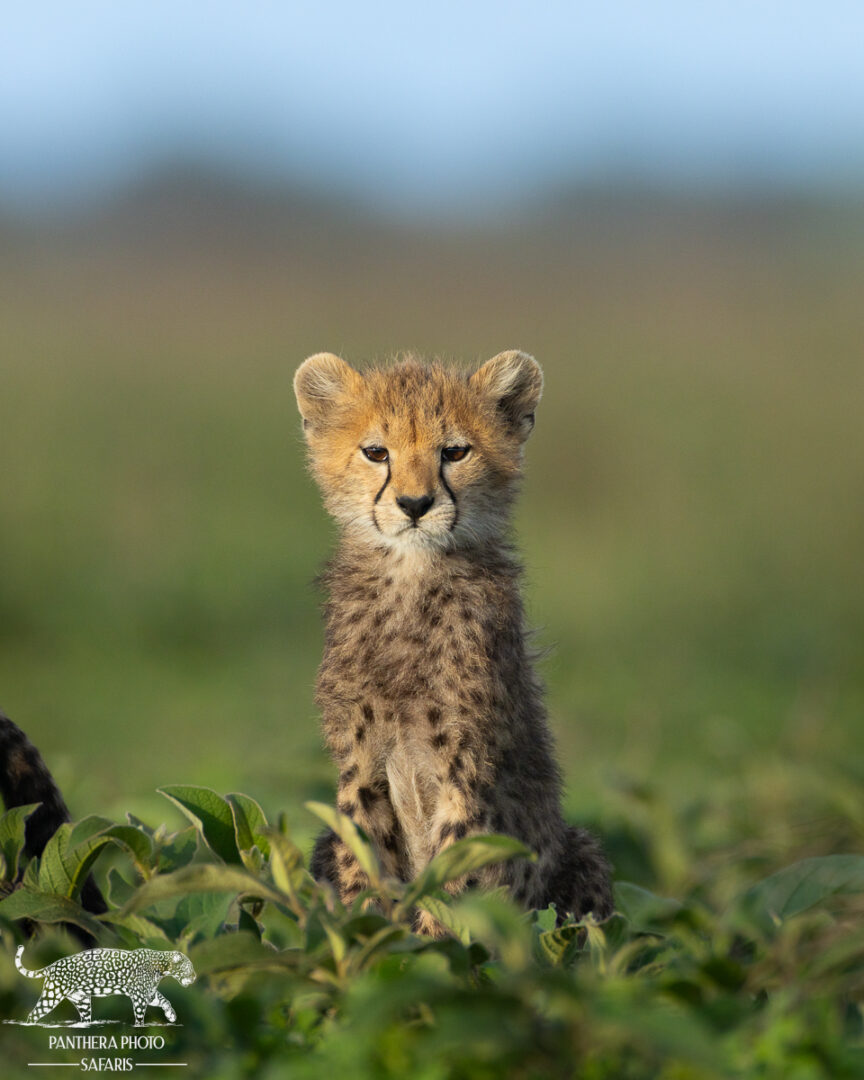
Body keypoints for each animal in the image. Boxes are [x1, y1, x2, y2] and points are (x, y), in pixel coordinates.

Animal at [15, 944, 196, 1025]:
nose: (195, 978)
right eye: (189, 967)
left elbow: (165, 1000)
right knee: (34, 1014)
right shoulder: (139, 997)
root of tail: (51, 966)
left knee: (85, 1018)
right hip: (52, 994)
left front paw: (171, 1015)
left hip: (82, 1000)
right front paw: (139, 1027)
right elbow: (139, 1015)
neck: (161, 967)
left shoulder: (149, 994)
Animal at [294, 349, 613, 934]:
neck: (412, 575)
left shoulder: (466, 764)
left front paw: (433, 943)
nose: (415, 504)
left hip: (581, 856)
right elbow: (362, 857)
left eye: (455, 452)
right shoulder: (359, 757)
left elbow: (453, 870)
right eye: (376, 452)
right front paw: (364, 934)